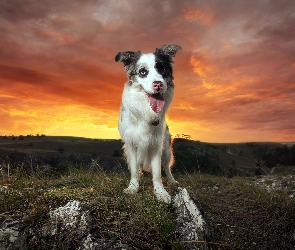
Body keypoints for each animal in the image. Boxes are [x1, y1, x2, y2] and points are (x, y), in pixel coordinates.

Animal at [116, 43, 183, 203]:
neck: (145, 110)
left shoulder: (156, 144)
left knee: (166, 167)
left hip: (166, 150)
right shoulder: (131, 144)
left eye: (162, 68)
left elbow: (157, 173)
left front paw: (161, 192)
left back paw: (172, 181)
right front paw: (133, 188)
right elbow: (134, 170)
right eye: (143, 72)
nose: (158, 84)